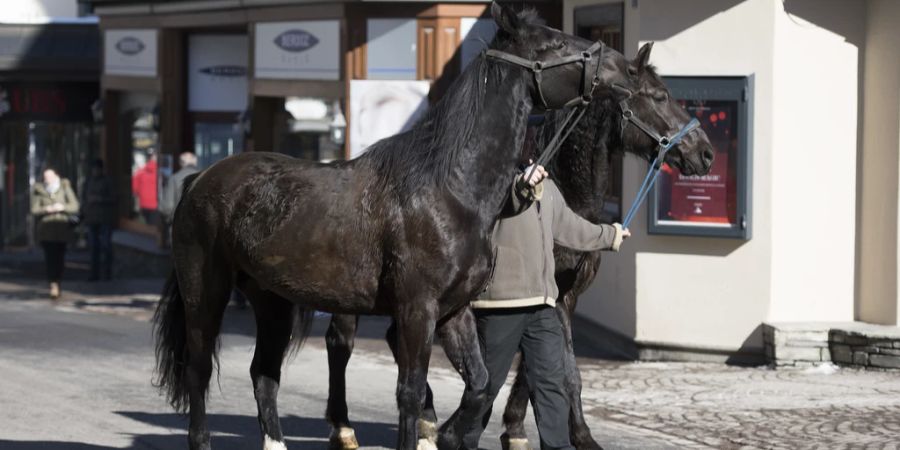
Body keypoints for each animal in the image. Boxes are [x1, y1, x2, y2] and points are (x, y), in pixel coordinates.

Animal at [155, 4, 632, 450]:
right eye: (553, 43)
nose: (623, 68)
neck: (449, 188)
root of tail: (200, 178)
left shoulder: (453, 311)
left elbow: (480, 385)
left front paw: (445, 435)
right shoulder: (417, 310)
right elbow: (410, 391)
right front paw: (429, 432)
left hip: (271, 299)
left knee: (264, 373)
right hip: (206, 294)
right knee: (198, 370)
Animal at [320, 40, 712, 448]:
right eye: (659, 95)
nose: (705, 152)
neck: (562, 187)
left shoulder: (560, 297)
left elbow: (546, 369)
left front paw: (517, 428)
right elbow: (541, 368)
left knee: (395, 339)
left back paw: (426, 420)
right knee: (341, 341)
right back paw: (345, 427)